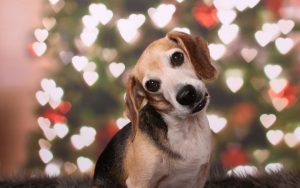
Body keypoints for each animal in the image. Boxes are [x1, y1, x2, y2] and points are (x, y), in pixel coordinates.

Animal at [92, 31, 217, 187]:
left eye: (177, 57)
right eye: (152, 85)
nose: (186, 95)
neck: (187, 130)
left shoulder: (199, 178)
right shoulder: (139, 182)